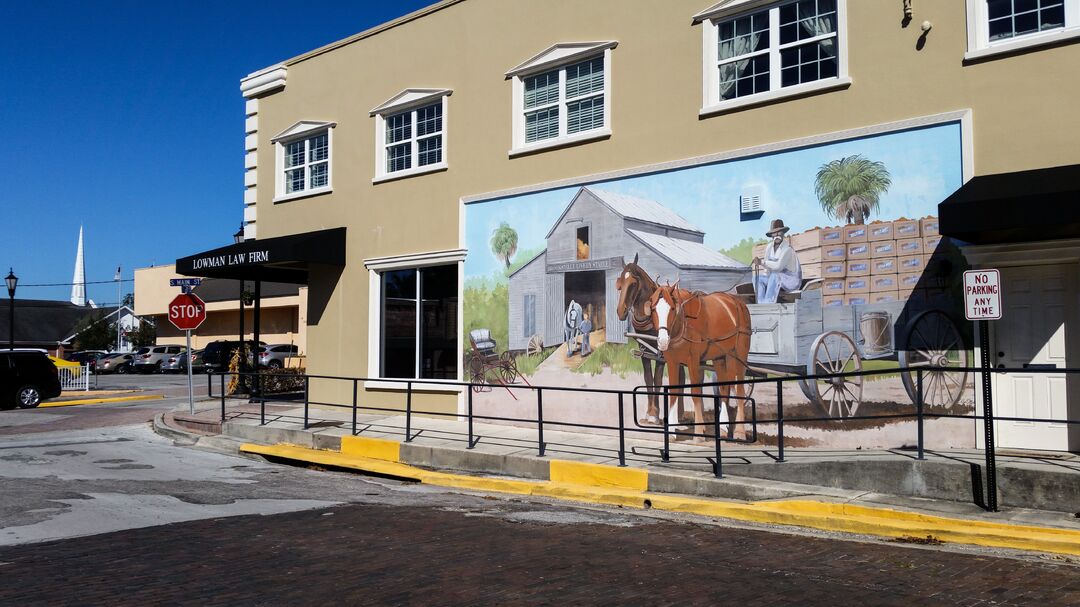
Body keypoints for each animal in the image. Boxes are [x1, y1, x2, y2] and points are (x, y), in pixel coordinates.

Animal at [648, 278, 751, 438]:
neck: (684, 323)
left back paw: (739, 432)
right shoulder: (672, 361)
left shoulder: (693, 360)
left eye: (672, 308)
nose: (663, 341)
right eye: (653, 309)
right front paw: (672, 432)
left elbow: (695, 392)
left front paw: (699, 432)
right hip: (720, 357)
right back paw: (723, 428)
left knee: (739, 390)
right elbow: (673, 392)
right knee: (724, 388)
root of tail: (736, 302)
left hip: (739, 354)